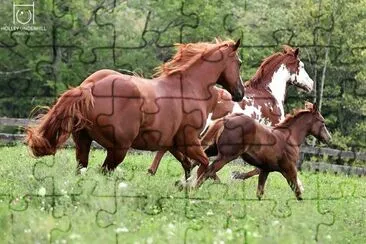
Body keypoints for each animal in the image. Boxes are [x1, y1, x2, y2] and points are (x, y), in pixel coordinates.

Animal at [25, 39, 243, 177]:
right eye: (239, 63)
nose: (240, 93)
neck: (190, 87)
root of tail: (88, 88)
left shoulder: (173, 144)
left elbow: (189, 166)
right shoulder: (189, 141)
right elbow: (205, 165)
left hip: (83, 142)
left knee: (82, 170)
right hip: (118, 149)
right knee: (103, 172)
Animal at [197, 102, 332, 200]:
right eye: (322, 121)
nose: (329, 138)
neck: (290, 137)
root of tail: (226, 119)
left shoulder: (265, 169)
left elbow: (259, 193)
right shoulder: (289, 168)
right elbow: (297, 192)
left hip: (213, 149)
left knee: (201, 165)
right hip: (227, 156)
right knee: (208, 171)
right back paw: (194, 190)